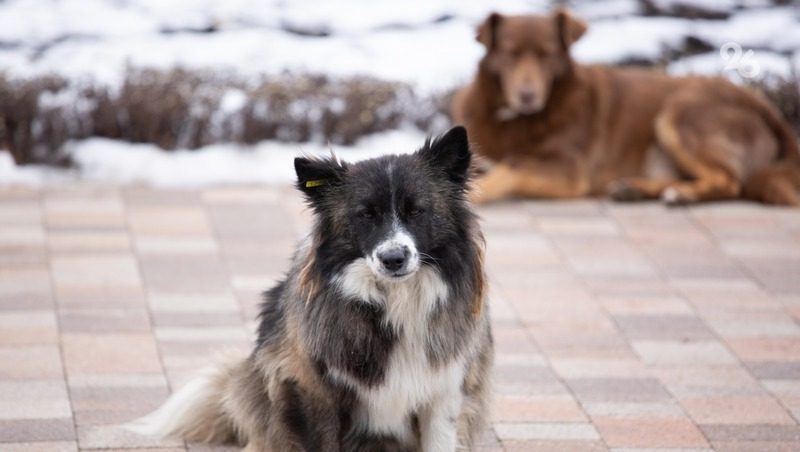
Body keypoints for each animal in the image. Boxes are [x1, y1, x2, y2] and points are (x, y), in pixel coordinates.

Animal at [127, 125, 490, 450]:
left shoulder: (444, 394)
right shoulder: (310, 391)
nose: (393, 259)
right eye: (365, 215)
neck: (394, 301)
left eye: (417, 210)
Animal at [456, 9, 800, 206]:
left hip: (680, 111)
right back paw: (635, 189)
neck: (515, 120)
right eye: (510, 53)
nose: (527, 96)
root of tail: (767, 110)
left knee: (730, 182)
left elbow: (510, 166)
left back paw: (682, 195)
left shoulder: (569, 169)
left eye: (547, 54)